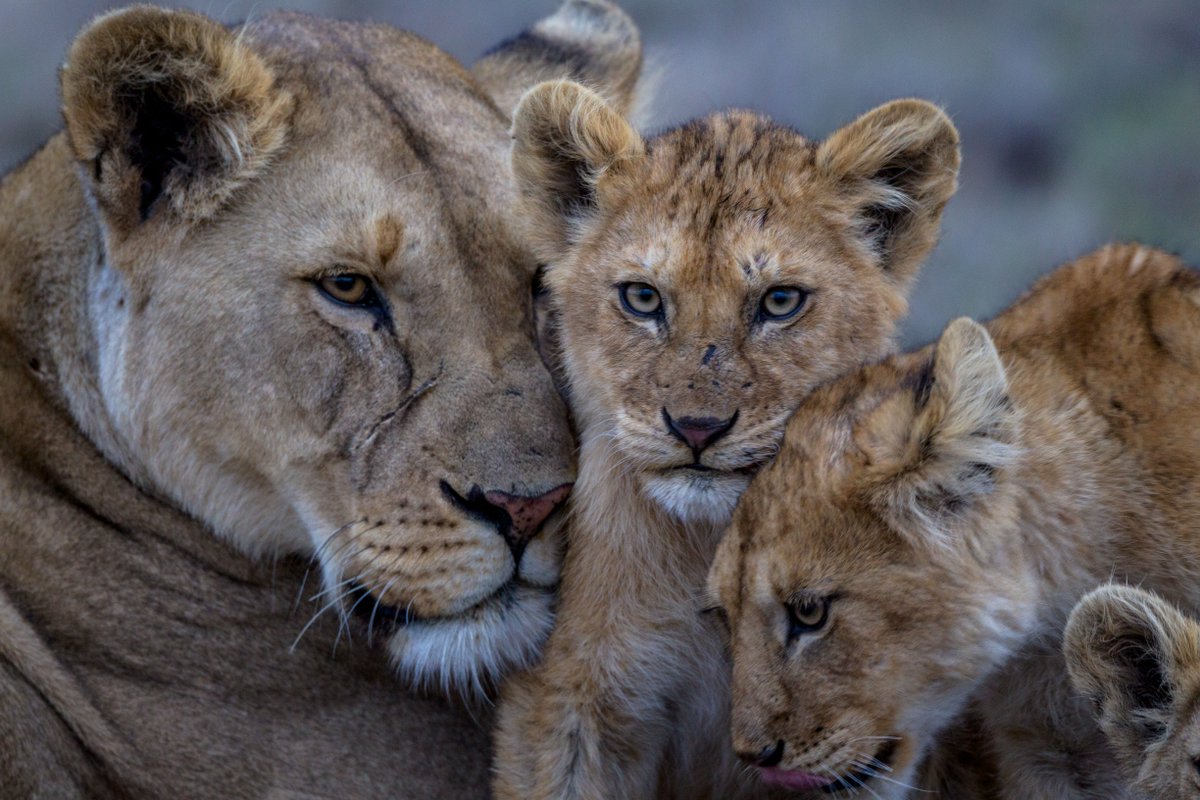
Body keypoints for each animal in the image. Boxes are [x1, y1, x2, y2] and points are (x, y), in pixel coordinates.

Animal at [492, 79, 961, 799]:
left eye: (779, 302)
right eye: (642, 298)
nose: (697, 428)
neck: (707, 547)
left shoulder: (861, 737)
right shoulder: (569, 703)